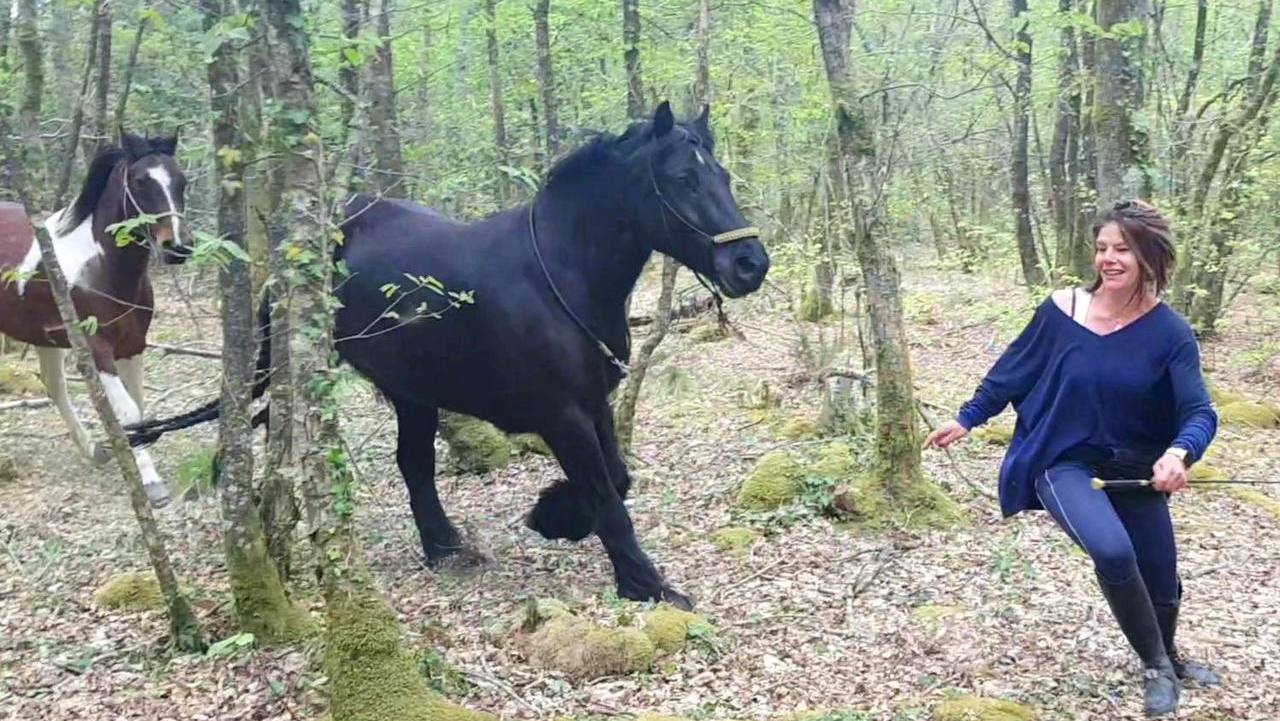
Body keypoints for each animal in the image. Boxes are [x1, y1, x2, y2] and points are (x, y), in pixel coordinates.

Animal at [0, 132, 192, 507]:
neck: (101, 267)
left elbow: (138, 408)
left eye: (181, 181)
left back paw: (92, 450)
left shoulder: (133, 346)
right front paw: (151, 483)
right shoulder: (98, 350)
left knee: (54, 386)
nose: (177, 246)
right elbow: (129, 411)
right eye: (140, 181)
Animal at [127, 102, 769, 607]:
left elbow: (617, 478)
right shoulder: (562, 415)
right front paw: (645, 583)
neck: (560, 276)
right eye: (684, 180)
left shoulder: (595, 403)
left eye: (723, 175)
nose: (750, 264)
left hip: (412, 391)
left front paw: (554, 517)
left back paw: (443, 546)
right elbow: (610, 497)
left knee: (414, 463)